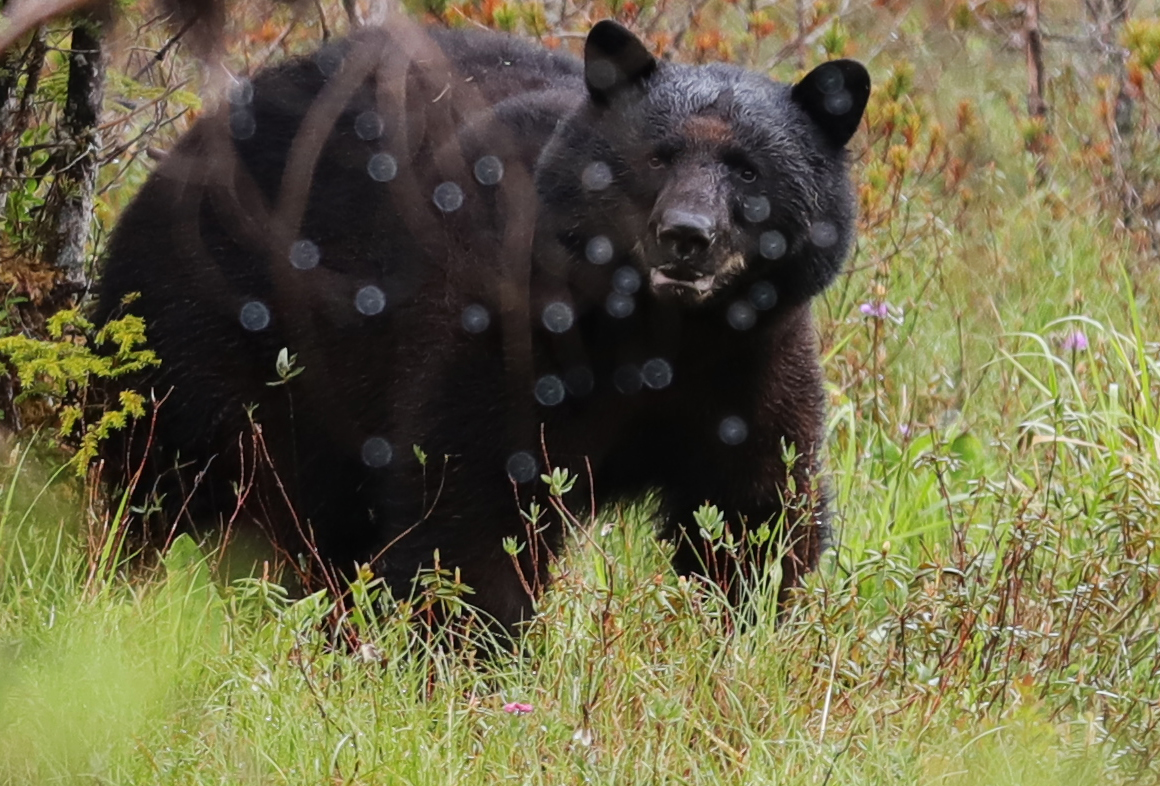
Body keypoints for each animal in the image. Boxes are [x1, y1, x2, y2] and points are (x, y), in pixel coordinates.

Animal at [97, 18, 872, 630]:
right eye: (658, 157)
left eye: (747, 170)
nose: (686, 236)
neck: (659, 329)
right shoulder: (507, 325)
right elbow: (472, 500)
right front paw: (478, 655)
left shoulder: (752, 360)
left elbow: (757, 505)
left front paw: (742, 627)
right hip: (205, 330)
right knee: (148, 472)